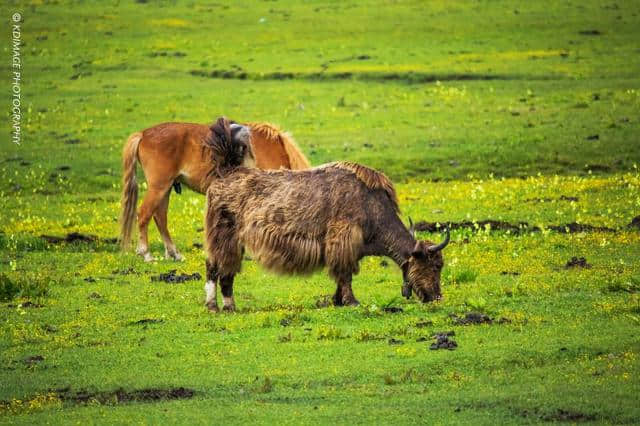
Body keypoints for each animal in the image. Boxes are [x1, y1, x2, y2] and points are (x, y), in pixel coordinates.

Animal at [120, 118, 312, 262]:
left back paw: (174, 254)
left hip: (165, 188)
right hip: (159, 187)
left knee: (160, 217)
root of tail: (143, 135)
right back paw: (146, 254)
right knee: (144, 214)